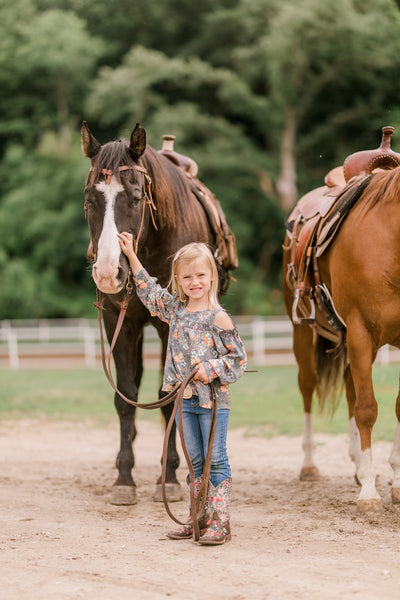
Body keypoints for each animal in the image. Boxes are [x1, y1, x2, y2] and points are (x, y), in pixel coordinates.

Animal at [81, 119, 236, 504]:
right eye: (89, 199)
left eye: (136, 198)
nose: (109, 272)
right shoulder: (118, 323)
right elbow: (125, 397)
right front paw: (124, 478)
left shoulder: (170, 327)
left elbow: (170, 399)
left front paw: (169, 478)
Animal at [282, 130, 400, 510]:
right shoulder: (361, 331)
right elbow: (367, 408)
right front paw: (370, 493)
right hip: (303, 334)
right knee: (308, 386)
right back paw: (310, 465)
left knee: (349, 386)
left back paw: (360, 466)